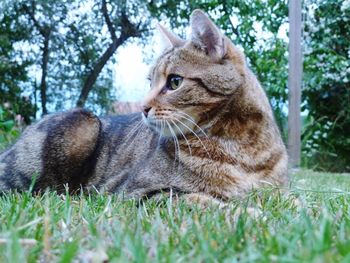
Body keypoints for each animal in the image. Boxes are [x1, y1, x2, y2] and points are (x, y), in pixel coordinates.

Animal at [0, 9, 288, 205]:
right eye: (150, 81)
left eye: (174, 82)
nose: (142, 107)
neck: (241, 145)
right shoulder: (139, 193)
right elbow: (205, 201)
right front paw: (252, 214)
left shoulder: (277, 191)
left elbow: (292, 201)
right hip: (82, 124)